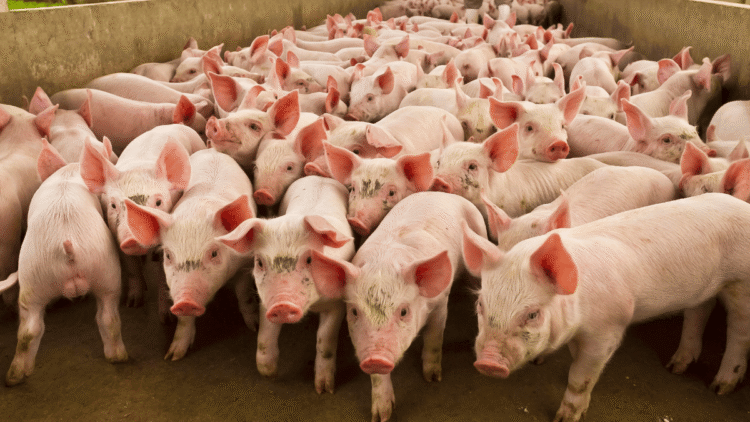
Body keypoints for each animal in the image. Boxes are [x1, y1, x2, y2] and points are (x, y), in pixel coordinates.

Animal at [5, 140, 127, 387]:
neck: (69, 171)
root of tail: (67, 246)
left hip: (34, 277)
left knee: (29, 329)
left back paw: (13, 378)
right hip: (105, 270)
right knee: (108, 316)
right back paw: (119, 357)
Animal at [124, 149, 258, 360]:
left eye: (214, 253)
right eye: (168, 256)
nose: (185, 301)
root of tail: (212, 150)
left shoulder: (244, 262)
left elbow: (244, 294)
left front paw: (254, 326)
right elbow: (185, 321)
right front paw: (173, 356)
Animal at [219, 176, 354, 393]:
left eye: (309, 260)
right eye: (259, 262)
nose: (282, 304)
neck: (312, 306)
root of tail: (319, 177)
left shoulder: (337, 303)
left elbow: (325, 340)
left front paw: (324, 390)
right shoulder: (265, 301)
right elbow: (265, 336)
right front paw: (269, 374)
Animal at [310, 191, 489, 422]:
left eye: (404, 311)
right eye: (355, 312)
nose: (376, 358)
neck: (384, 265)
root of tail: (442, 193)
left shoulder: (440, 302)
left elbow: (434, 337)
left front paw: (432, 378)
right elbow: (378, 377)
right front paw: (381, 416)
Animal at [462, 193, 750, 422]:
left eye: (533, 314)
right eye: (481, 304)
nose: (488, 362)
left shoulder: (608, 329)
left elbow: (580, 378)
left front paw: (564, 418)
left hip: (741, 284)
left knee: (739, 332)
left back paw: (719, 387)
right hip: (704, 288)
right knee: (700, 310)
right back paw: (675, 367)